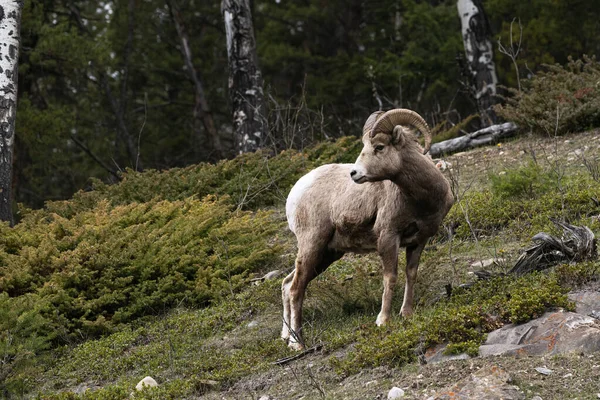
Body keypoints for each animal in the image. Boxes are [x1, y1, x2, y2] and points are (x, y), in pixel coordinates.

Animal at [284, 108, 452, 350]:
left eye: (379, 147)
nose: (354, 174)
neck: (422, 199)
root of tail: (294, 194)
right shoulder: (388, 238)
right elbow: (390, 277)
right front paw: (383, 320)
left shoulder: (419, 241)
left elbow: (411, 274)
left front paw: (407, 314)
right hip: (312, 246)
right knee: (296, 289)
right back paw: (298, 344)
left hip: (327, 255)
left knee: (287, 284)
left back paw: (287, 340)